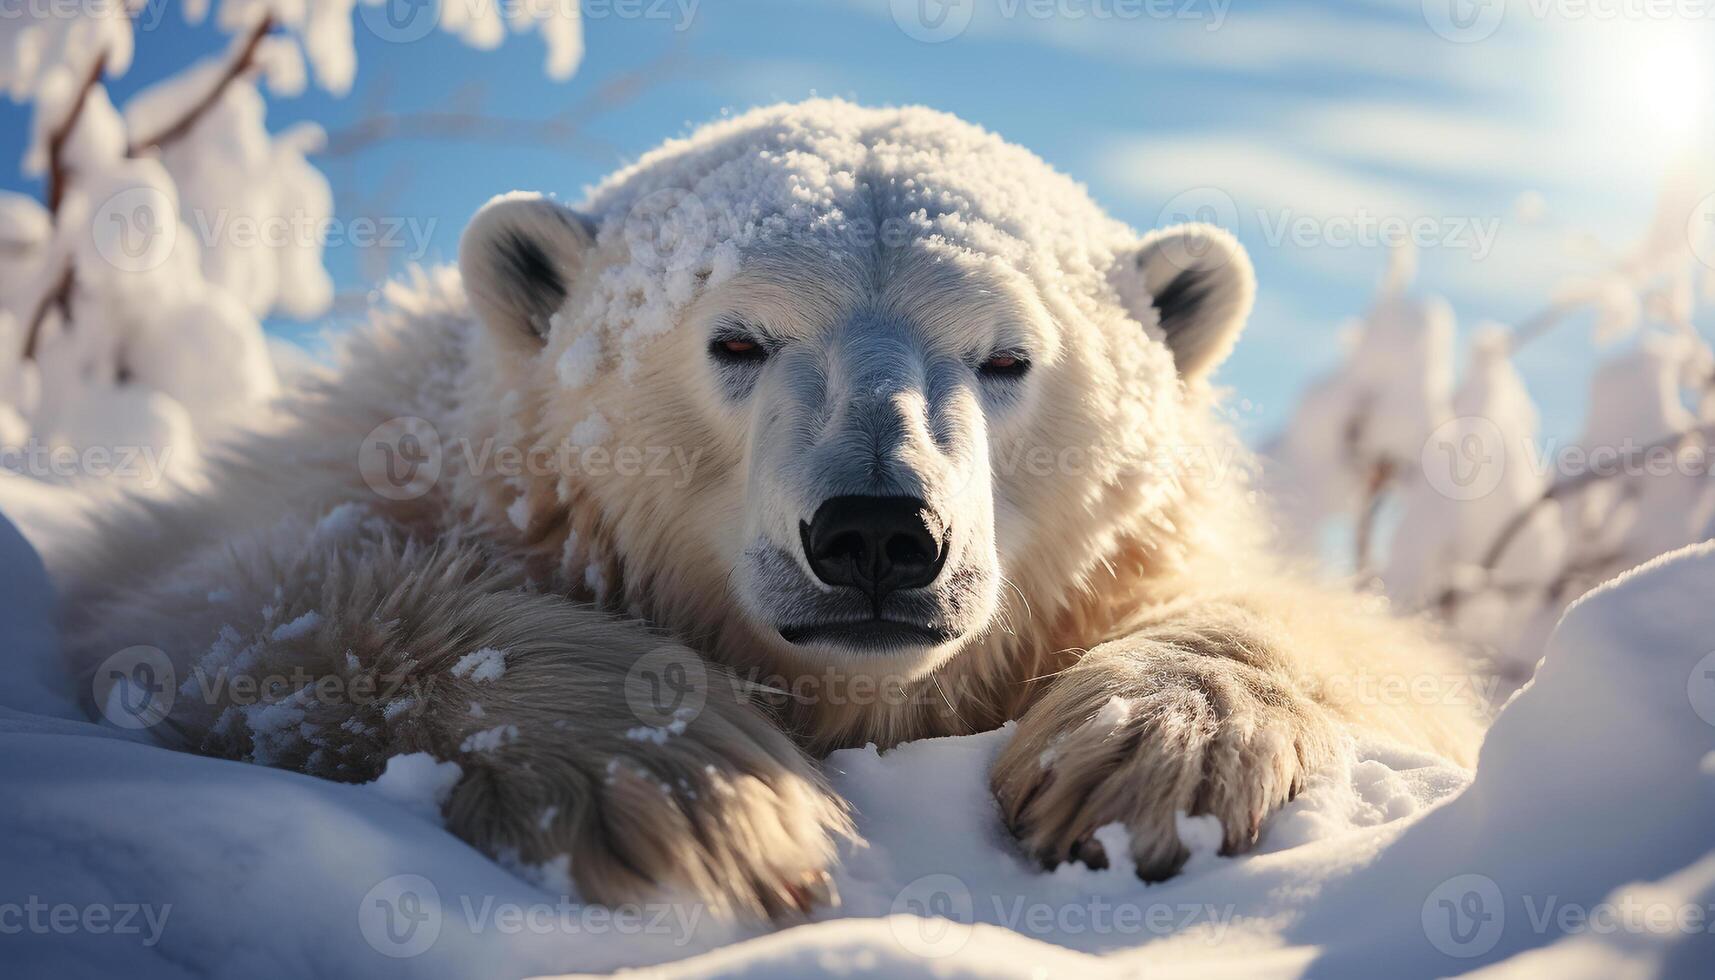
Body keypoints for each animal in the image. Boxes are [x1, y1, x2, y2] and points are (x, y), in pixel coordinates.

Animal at [60, 103, 1481, 926]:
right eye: (736, 338)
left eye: (1007, 356)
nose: (877, 534)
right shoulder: (349, 486)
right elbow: (226, 608)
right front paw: (697, 785)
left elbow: (1366, 646)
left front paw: (1151, 751)